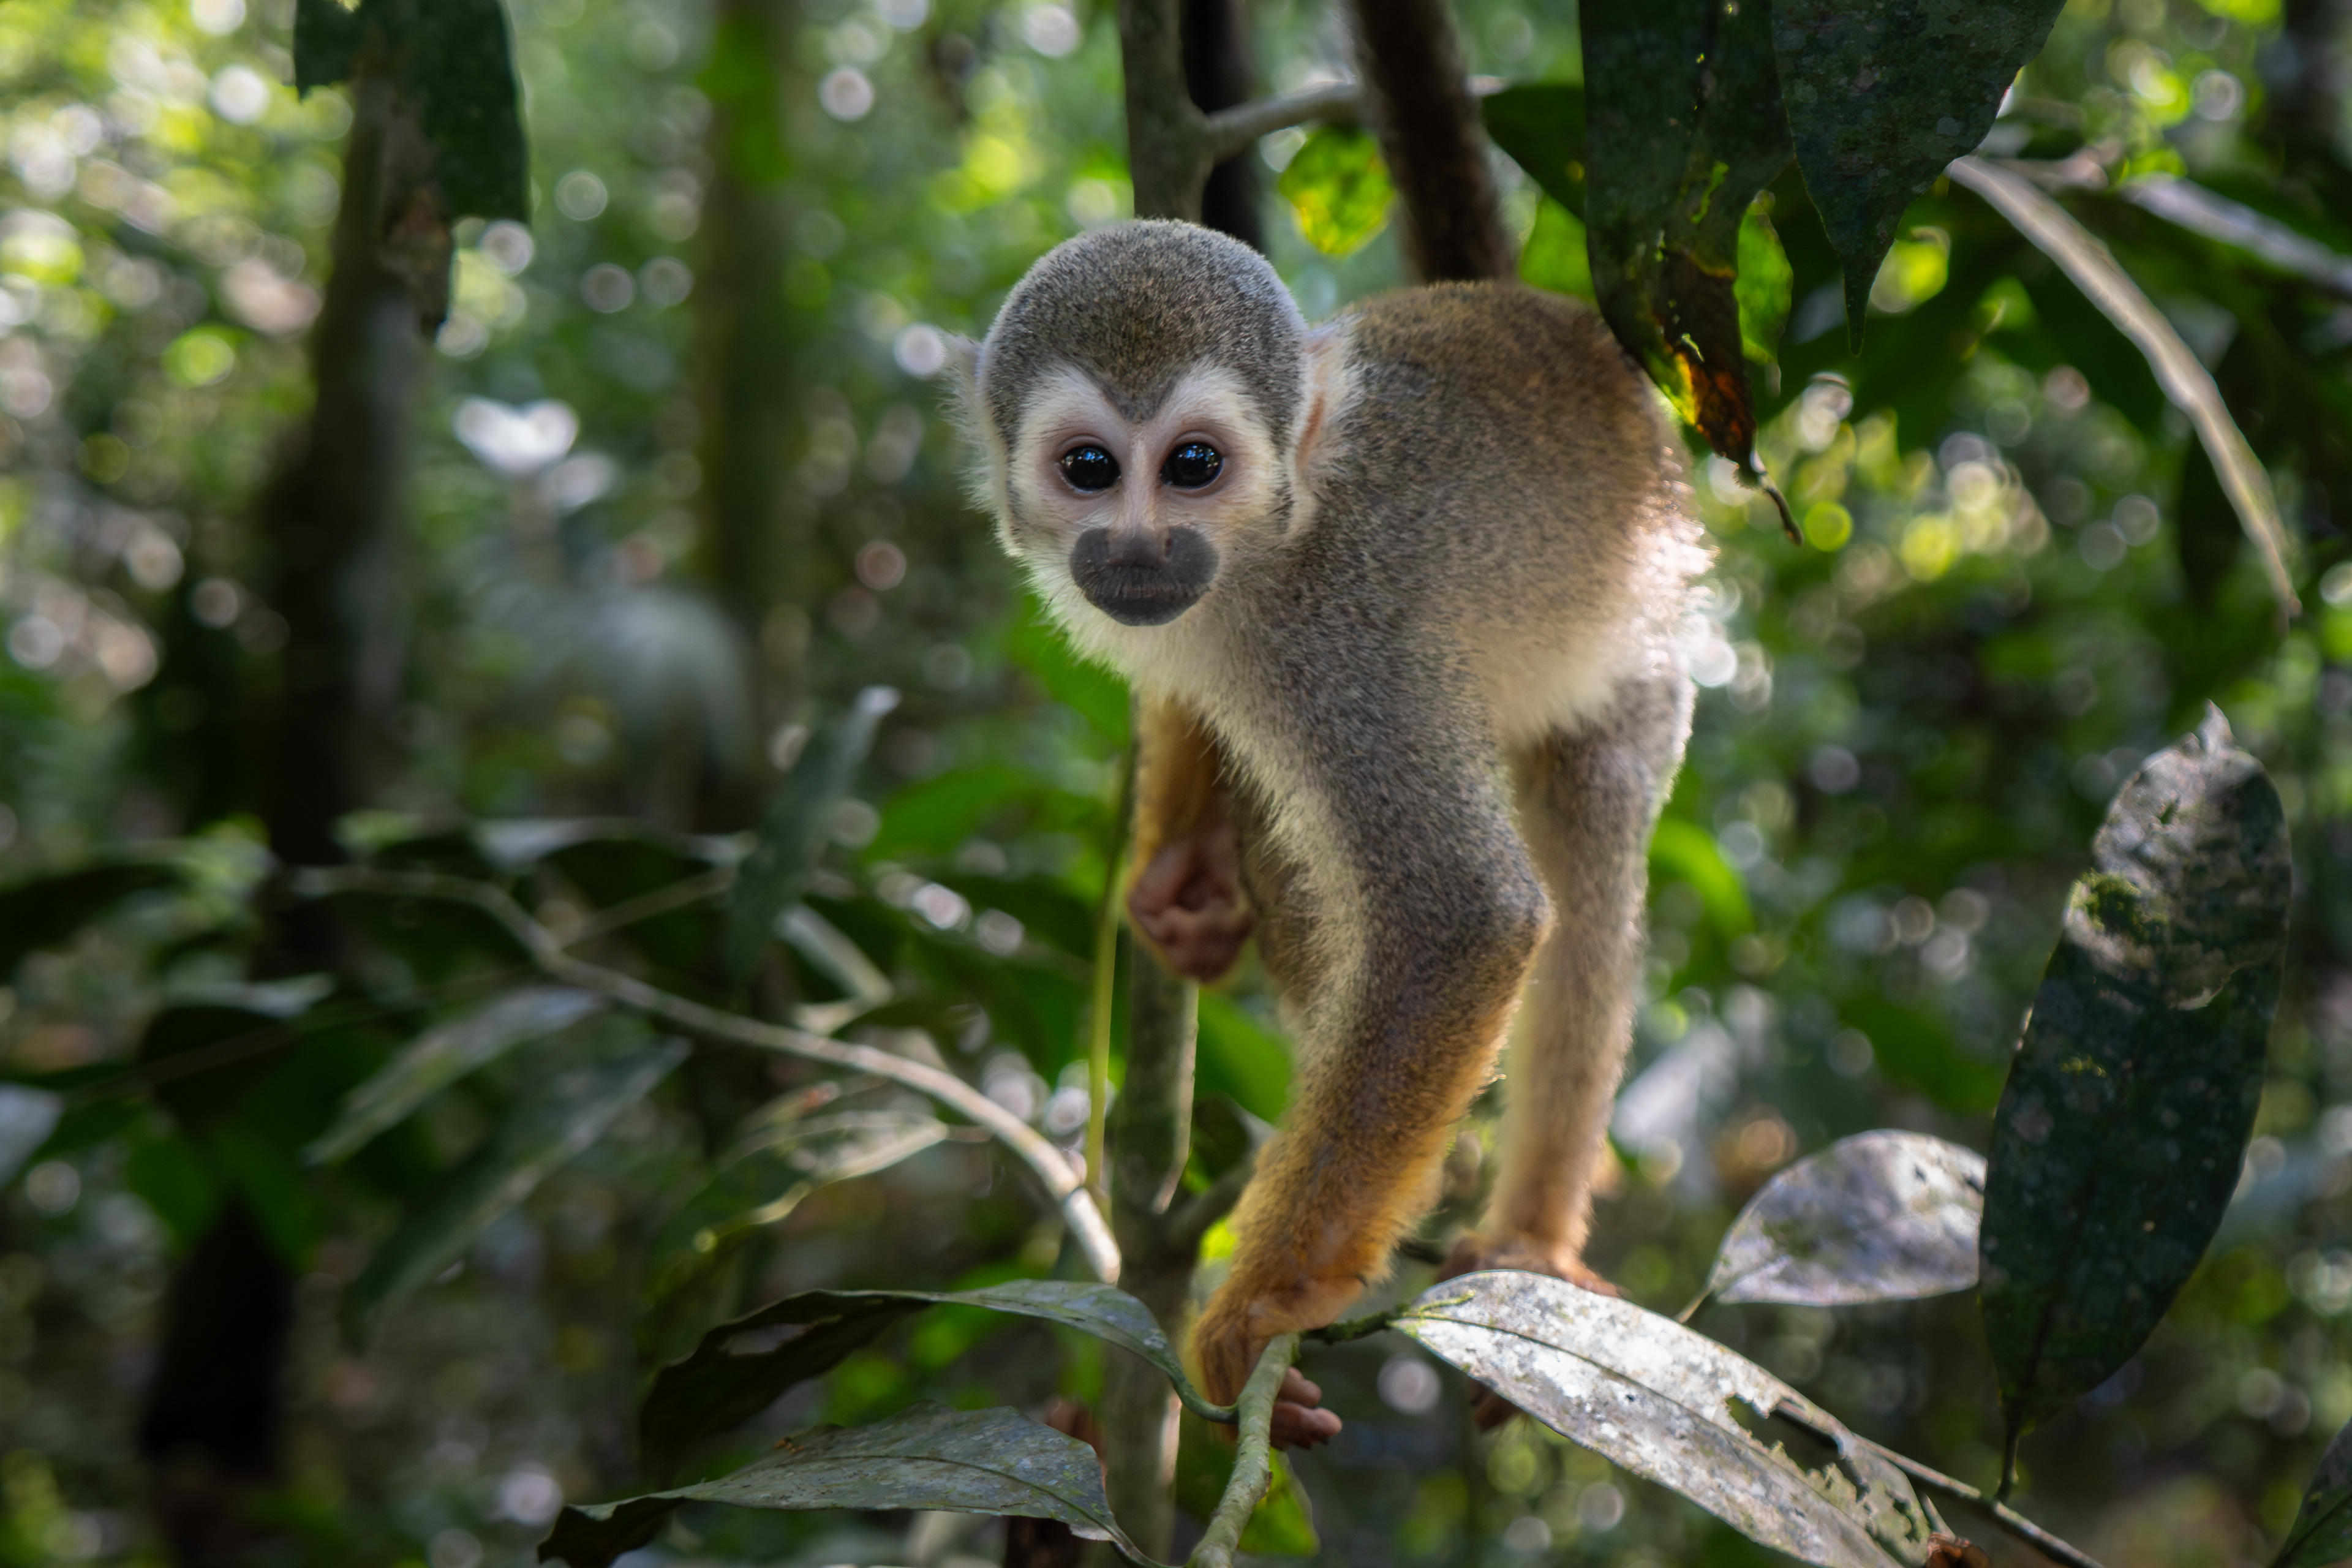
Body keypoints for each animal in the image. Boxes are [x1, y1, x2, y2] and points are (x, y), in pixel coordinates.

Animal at [951, 219, 1706, 1439]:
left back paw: (1527, 1237)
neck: (1273, 547)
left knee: (1585, 845)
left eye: (1194, 466)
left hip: (1645, 647)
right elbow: (1189, 701)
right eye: (1090, 469)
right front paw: (1182, 867)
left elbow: (1463, 919)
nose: (1140, 551)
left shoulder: (1341, 646)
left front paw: (1260, 1309)